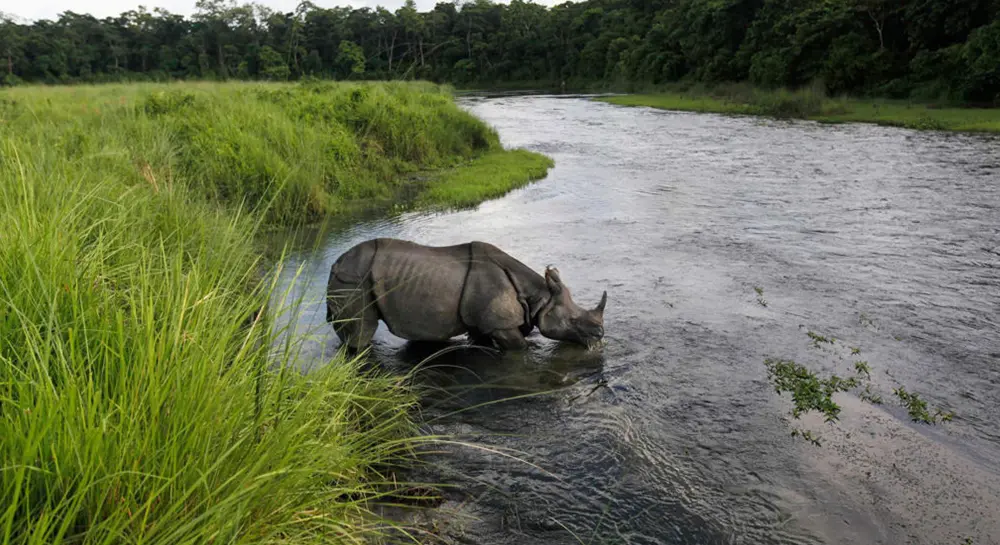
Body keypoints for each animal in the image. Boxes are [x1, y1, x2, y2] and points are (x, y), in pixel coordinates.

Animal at [325, 237, 607, 352]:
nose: (600, 335)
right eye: (573, 321)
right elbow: (520, 348)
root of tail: (335, 263)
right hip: (353, 280)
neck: (538, 297)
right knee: (361, 331)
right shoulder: (501, 325)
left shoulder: (483, 322)